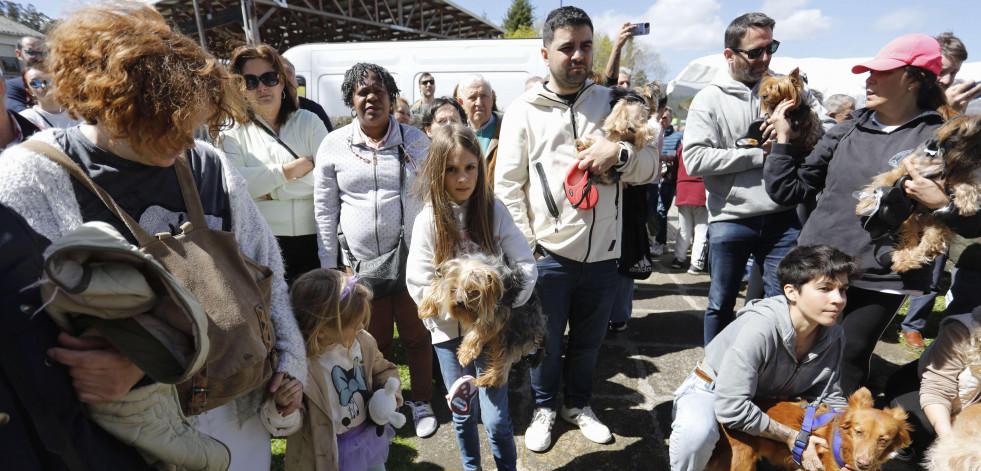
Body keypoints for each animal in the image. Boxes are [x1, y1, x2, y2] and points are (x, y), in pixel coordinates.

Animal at [852, 115, 980, 272]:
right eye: (975, 142)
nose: (979, 158)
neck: (940, 158)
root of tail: (922, 222)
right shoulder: (905, 168)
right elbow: (884, 179)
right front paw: (866, 203)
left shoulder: (957, 171)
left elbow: (965, 183)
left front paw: (967, 204)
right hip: (908, 222)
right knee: (910, 240)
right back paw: (902, 258)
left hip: (938, 227)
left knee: (924, 248)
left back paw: (907, 261)